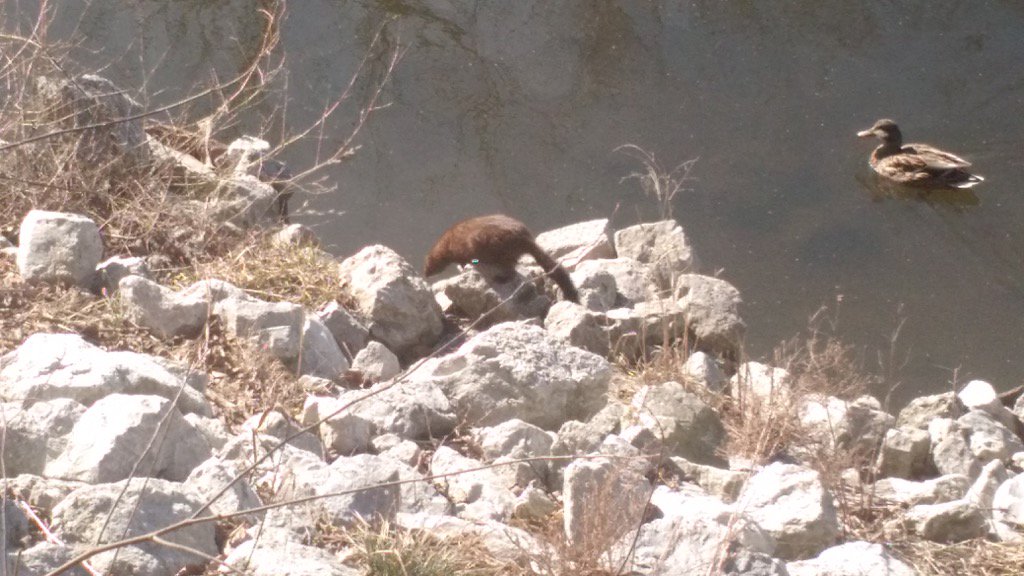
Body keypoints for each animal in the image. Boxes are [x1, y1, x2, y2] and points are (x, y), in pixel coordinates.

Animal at [424, 214, 579, 303]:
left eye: (426, 267)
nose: (425, 275)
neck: (447, 241)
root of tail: (524, 236)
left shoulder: (460, 250)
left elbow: (463, 261)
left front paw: (464, 267)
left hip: (497, 248)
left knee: (510, 269)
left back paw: (500, 278)